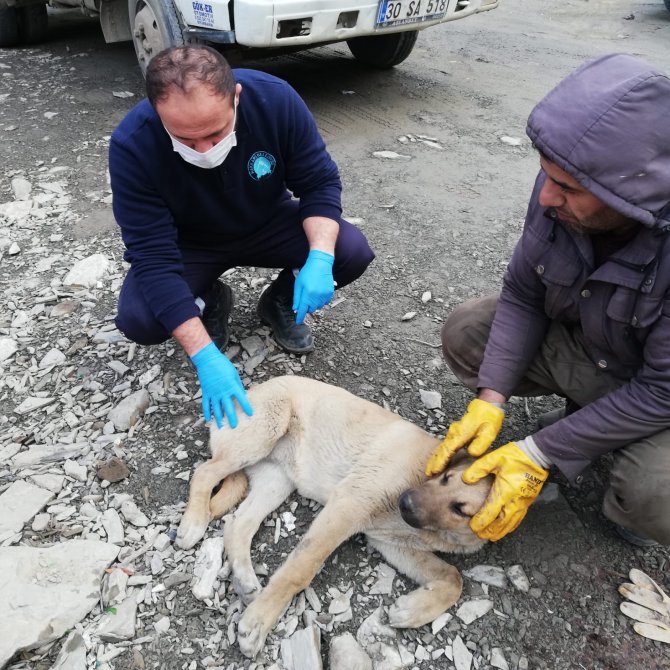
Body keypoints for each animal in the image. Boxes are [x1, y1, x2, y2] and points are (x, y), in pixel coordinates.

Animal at [177, 378, 494, 660]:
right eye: (446, 478)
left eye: (461, 510)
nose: (405, 502)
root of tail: (251, 389)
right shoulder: (347, 506)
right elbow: (300, 570)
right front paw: (257, 623)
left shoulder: (392, 544)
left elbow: (453, 577)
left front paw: (411, 610)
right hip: (262, 434)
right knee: (205, 472)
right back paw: (194, 523)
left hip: (276, 480)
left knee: (238, 523)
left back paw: (244, 577)